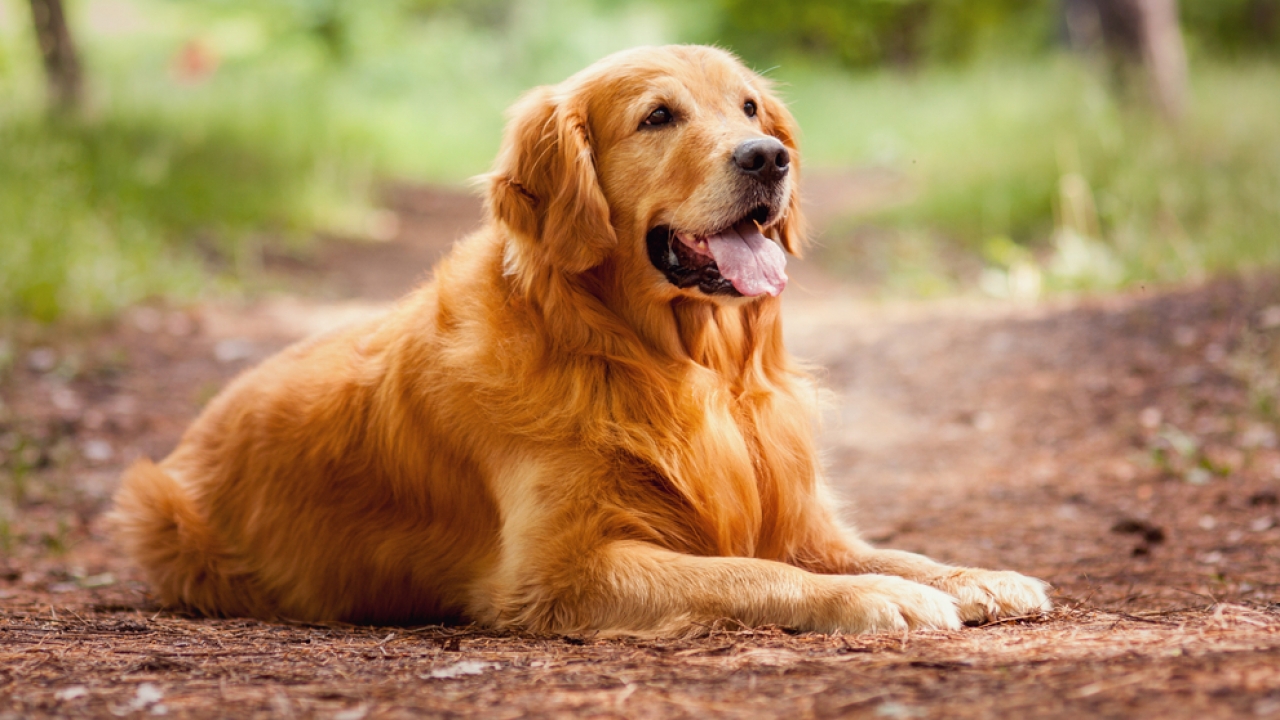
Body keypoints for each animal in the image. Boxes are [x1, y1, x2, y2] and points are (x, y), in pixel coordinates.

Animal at [110, 44, 1049, 630]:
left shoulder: (799, 515)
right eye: (658, 116)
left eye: (750, 107)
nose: (767, 157)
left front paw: (975, 575)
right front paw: (875, 599)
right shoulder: (560, 569)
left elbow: (888, 550)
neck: (672, 362)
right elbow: (751, 572)